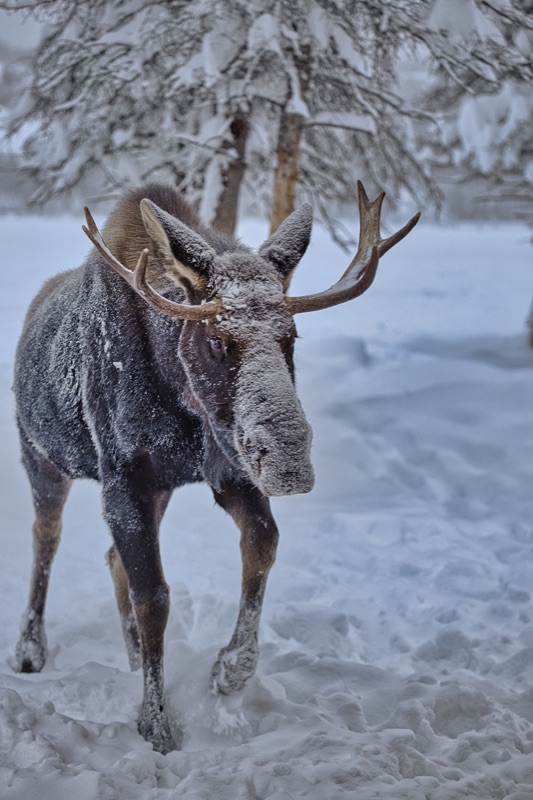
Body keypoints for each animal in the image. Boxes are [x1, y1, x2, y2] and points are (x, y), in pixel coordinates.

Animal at [13, 180, 419, 753]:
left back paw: (132, 657)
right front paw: (156, 725)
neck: (178, 400)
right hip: (43, 459)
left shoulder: (228, 471)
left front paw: (229, 672)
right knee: (45, 539)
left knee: (112, 559)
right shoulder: (124, 480)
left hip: (158, 488)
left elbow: (262, 545)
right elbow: (154, 596)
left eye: (291, 337)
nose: (290, 462)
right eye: (216, 339)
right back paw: (31, 649)